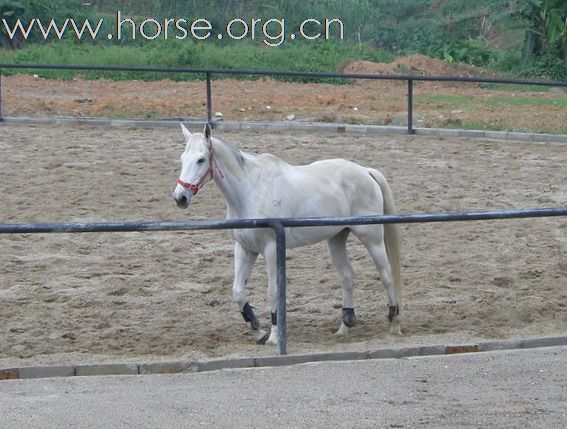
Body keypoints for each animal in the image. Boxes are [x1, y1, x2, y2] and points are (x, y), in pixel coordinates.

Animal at [171, 123, 402, 344]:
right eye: (183, 158)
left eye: (201, 159)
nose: (180, 197)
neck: (251, 191)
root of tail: (366, 171)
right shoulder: (245, 249)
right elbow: (237, 293)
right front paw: (258, 330)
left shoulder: (271, 249)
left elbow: (273, 293)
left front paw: (274, 336)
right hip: (337, 239)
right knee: (347, 277)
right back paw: (344, 327)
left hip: (372, 239)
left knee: (386, 275)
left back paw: (394, 322)